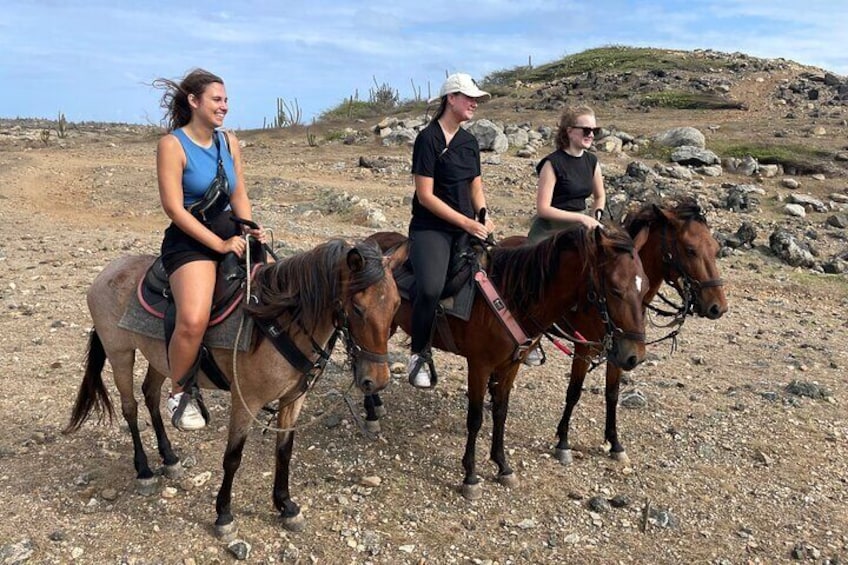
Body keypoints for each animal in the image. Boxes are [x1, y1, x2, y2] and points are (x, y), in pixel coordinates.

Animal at [63, 238, 400, 532]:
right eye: (358, 308)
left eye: (396, 305)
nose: (378, 380)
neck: (278, 323)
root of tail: (108, 271)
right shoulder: (245, 401)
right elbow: (233, 458)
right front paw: (224, 514)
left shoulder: (293, 399)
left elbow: (284, 451)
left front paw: (286, 506)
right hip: (120, 353)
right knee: (130, 407)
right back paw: (144, 469)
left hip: (160, 357)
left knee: (150, 395)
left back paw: (169, 458)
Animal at [364, 225, 648, 498]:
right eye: (615, 289)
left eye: (644, 288)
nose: (634, 355)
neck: (512, 298)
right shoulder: (479, 366)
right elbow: (476, 418)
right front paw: (470, 476)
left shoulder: (511, 364)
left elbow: (501, 411)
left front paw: (502, 466)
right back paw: (371, 413)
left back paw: (376, 404)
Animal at [510, 198, 728, 468]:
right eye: (690, 250)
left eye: (716, 248)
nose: (718, 306)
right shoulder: (584, 348)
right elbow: (574, 392)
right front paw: (563, 442)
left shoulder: (622, 350)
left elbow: (612, 394)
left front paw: (614, 443)